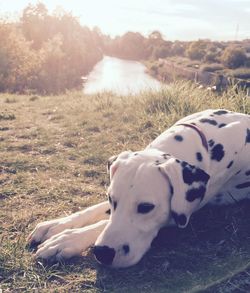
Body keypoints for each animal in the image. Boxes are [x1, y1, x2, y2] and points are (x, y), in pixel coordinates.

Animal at [27, 109, 250, 266]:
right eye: (111, 199)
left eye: (146, 207)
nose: (102, 253)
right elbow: (95, 210)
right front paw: (57, 225)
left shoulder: (181, 213)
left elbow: (103, 223)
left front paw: (67, 240)